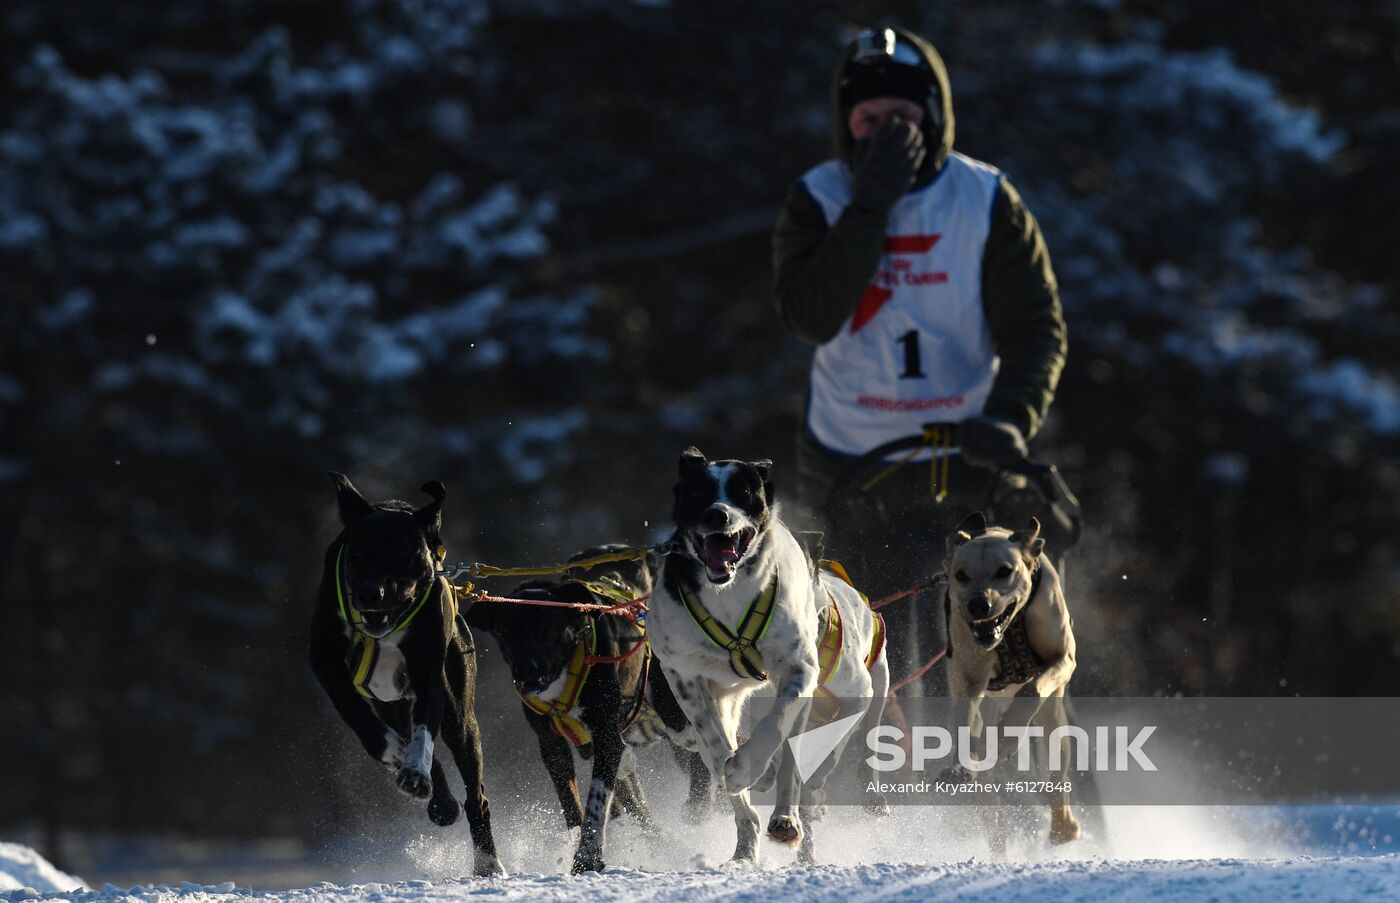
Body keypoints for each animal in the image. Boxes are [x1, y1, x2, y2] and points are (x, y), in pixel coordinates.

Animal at [309, 473, 506, 873]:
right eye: (357, 554)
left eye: (404, 552)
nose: (370, 593)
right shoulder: (326, 664)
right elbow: (363, 723)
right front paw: (400, 759)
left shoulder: (429, 675)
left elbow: (425, 732)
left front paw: (414, 768)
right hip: (393, 706)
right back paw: (437, 799)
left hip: (460, 714)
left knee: (475, 794)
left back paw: (488, 863)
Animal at [470, 546, 711, 868]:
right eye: (504, 632)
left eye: (548, 631)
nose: (527, 672)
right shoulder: (554, 745)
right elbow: (573, 804)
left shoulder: (607, 737)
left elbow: (597, 802)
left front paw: (587, 857)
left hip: (674, 717)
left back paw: (702, 803)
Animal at [644, 448, 884, 862]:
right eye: (698, 492)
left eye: (743, 492)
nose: (718, 515)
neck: (728, 593)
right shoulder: (684, 678)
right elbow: (718, 746)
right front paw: (737, 770)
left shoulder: (799, 670)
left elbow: (776, 728)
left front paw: (750, 767)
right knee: (730, 772)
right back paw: (748, 836)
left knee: (795, 757)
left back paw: (785, 817)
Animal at [940, 509, 1080, 851]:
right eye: (961, 575)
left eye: (1005, 571)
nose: (979, 605)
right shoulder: (970, 681)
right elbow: (964, 717)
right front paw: (959, 764)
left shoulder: (1063, 659)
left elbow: (1032, 689)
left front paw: (1007, 735)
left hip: (1054, 721)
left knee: (1057, 779)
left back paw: (1064, 828)